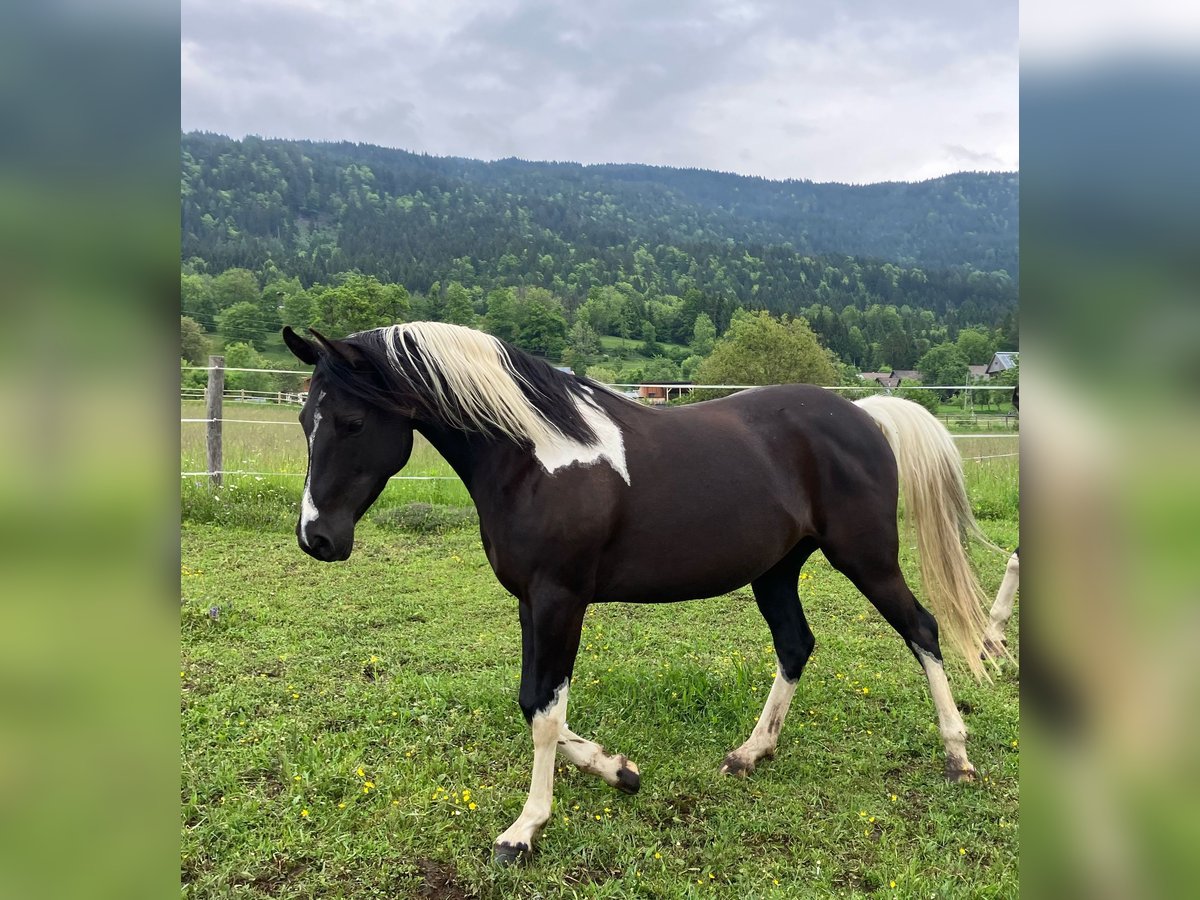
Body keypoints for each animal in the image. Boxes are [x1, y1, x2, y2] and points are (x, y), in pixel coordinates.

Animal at [285, 321, 998, 868]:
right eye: (303, 419)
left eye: (351, 421)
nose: (316, 537)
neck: (534, 458)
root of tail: (866, 416)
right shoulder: (530, 601)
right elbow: (532, 702)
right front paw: (618, 770)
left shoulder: (560, 599)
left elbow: (545, 713)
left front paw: (524, 830)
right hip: (776, 571)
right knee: (797, 645)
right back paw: (751, 752)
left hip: (867, 558)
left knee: (923, 629)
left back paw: (957, 756)